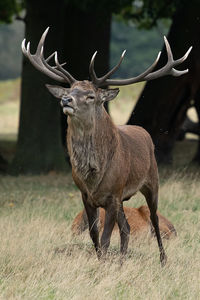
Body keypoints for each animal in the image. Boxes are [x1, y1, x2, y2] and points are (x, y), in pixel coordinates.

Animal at [21, 27, 191, 268]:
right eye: (71, 89)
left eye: (90, 96)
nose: (66, 100)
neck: (94, 175)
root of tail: (144, 132)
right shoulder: (87, 196)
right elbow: (95, 236)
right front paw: (102, 262)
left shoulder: (113, 194)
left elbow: (106, 237)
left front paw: (103, 266)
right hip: (122, 199)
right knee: (126, 228)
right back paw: (121, 260)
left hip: (152, 182)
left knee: (155, 220)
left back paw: (163, 260)